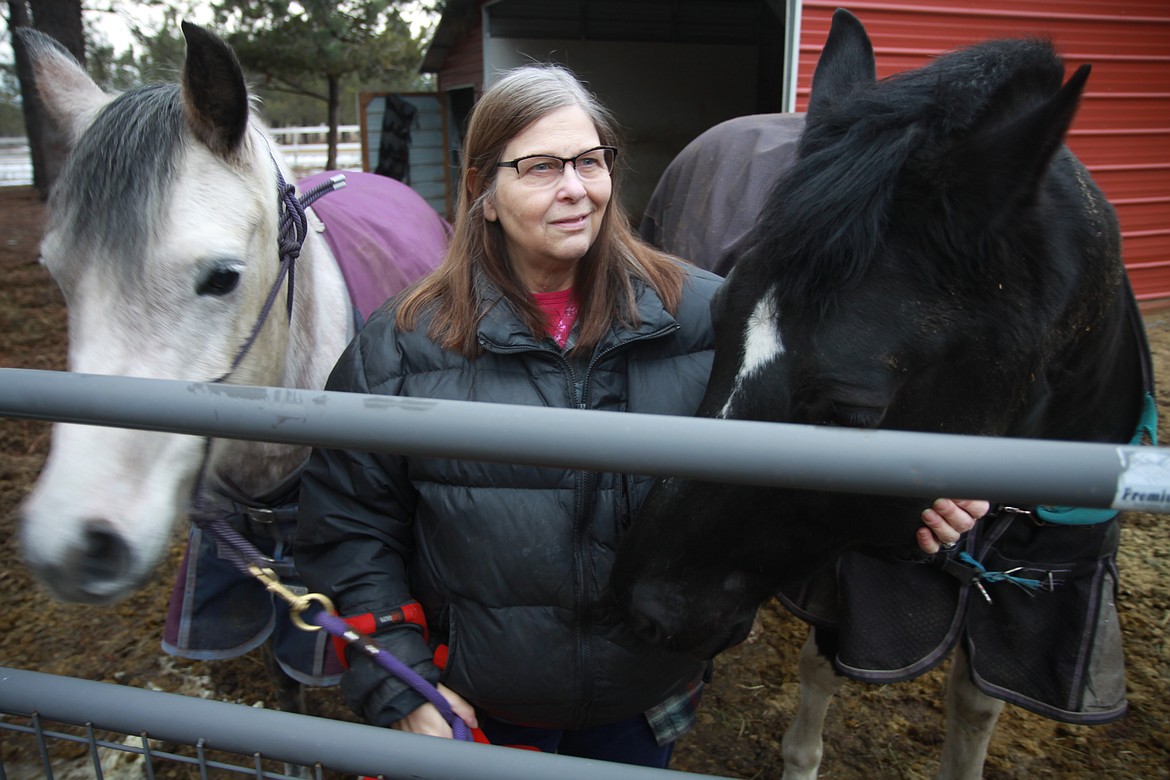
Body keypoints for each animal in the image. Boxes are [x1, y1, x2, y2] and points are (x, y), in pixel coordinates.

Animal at [613, 7, 1151, 780]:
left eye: (851, 414)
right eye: (718, 323)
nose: (642, 609)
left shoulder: (1028, 603)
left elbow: (975, 709)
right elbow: (821, 672)